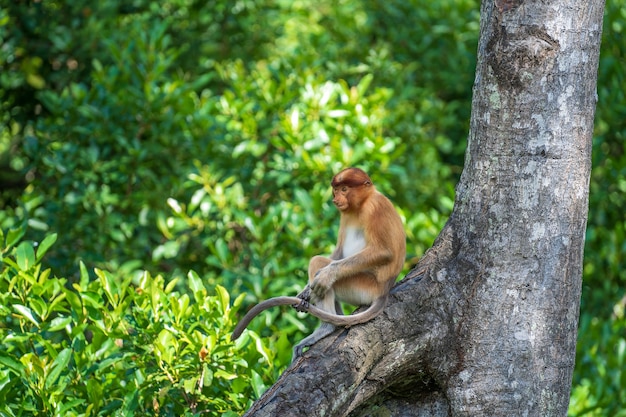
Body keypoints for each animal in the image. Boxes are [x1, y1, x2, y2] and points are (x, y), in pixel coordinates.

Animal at [229, 167, 404, 360]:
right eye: (336, 189)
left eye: (344, 189)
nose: (335, 199)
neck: (362, 204)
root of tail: (383, 291)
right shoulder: (345, 216)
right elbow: (339, 251)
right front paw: (305, 292)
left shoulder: (375, 208)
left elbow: (383, 251)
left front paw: (326, 275)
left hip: (363, 286)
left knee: (318, 263)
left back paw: (327, 327)